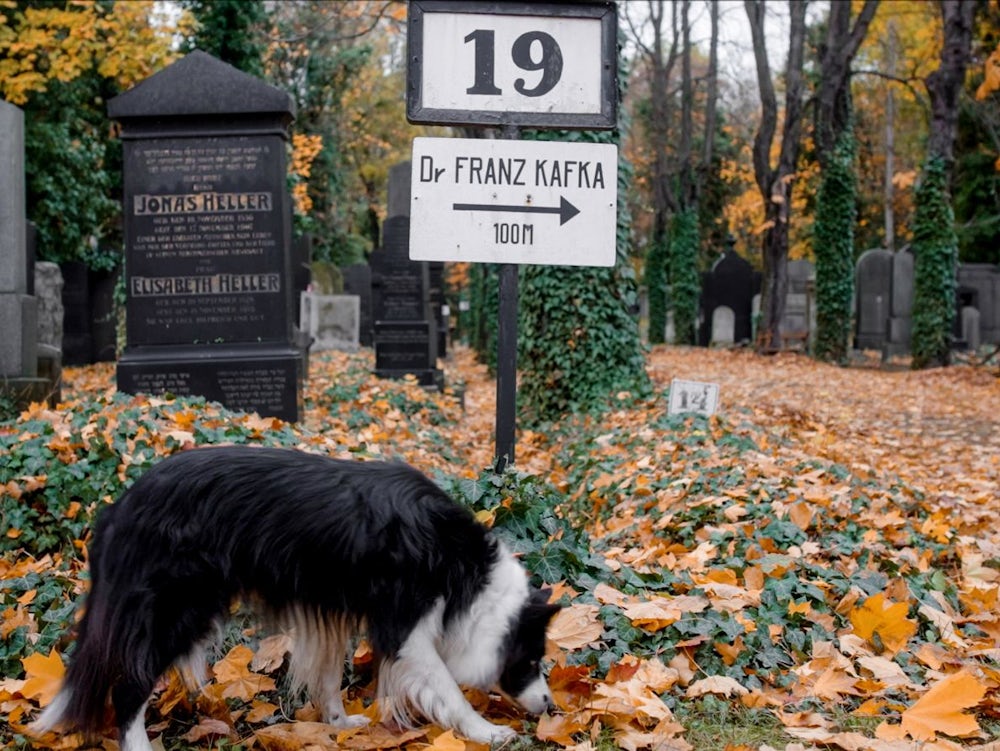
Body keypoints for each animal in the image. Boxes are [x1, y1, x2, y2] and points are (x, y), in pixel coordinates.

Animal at [35, 450, 560, 748]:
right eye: (532, 660)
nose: (551, 706)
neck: (467, 573)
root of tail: (119, 507)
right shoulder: (404, 626)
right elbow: (447, 688)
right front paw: (487, 732)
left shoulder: (331, 610)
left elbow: (327, 676)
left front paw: (340, 723)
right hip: (177, 610)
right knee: (128, 689)